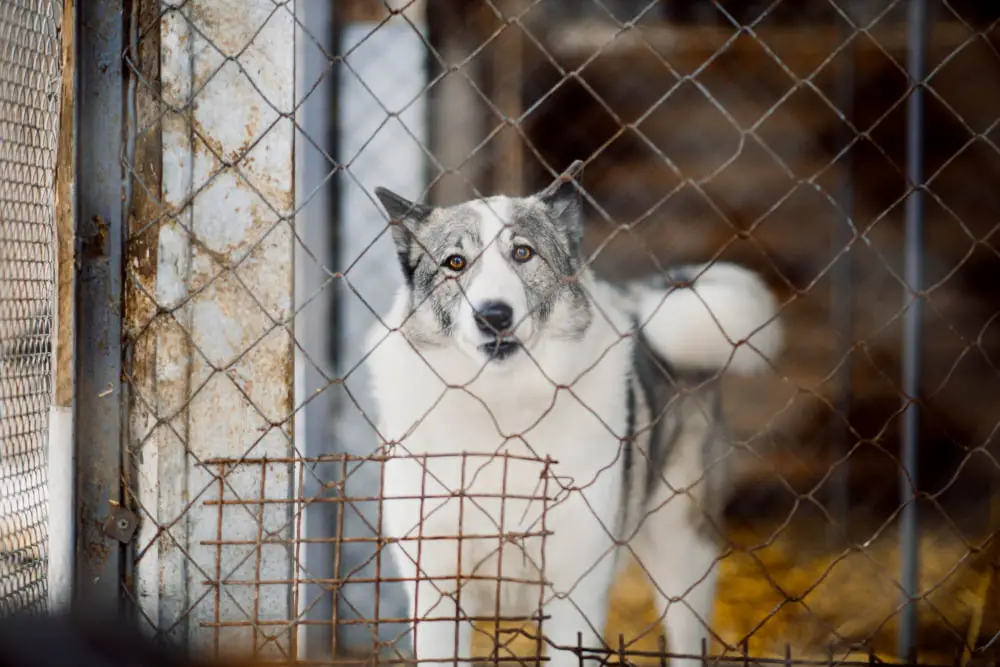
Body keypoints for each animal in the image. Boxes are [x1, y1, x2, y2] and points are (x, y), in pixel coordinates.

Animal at [364, 163, 784, 667]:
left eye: (523, 252)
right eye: (455, 263)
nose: (493, 316)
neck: (502, 409)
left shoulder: (574, 595)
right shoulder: (437, 591)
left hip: (681, 551)